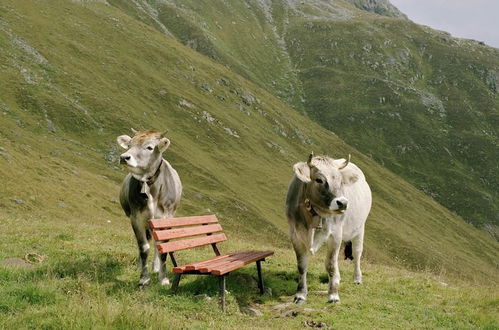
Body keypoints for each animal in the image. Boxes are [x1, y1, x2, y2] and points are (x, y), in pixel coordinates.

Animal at [286, 153, 372, 302]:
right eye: (319, 179)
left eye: (340, 181)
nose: (343, 203)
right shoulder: (295, 234)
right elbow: (302, 265)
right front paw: (300, 294)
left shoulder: (335, 234)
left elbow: (330, 265)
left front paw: (333, 295)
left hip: (360, 228)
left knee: (357, 253)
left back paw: (357, 279)